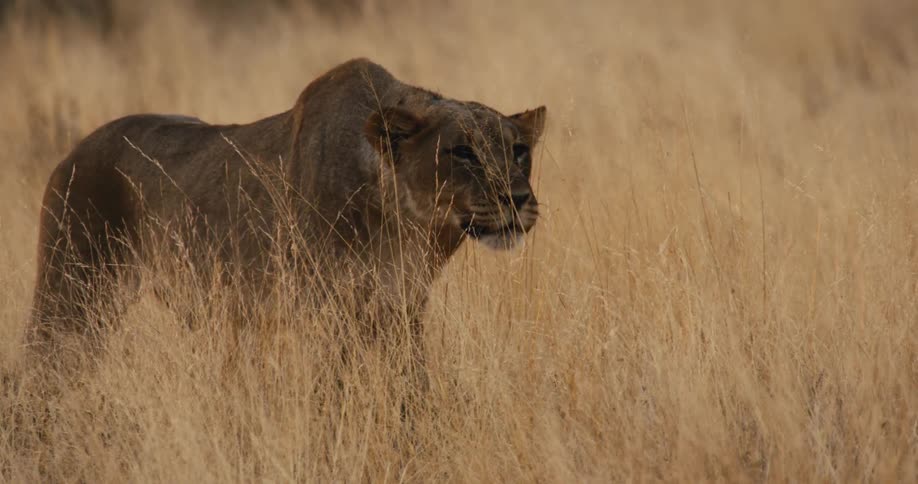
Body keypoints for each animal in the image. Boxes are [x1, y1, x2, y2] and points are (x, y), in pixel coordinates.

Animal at [28, 58, 546, 374]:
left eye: (519, 150)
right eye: (463, 152)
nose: (518, 198)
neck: (409, 227)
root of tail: (73, 150)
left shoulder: (399, 311)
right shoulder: (325, 315)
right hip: (70, 299)